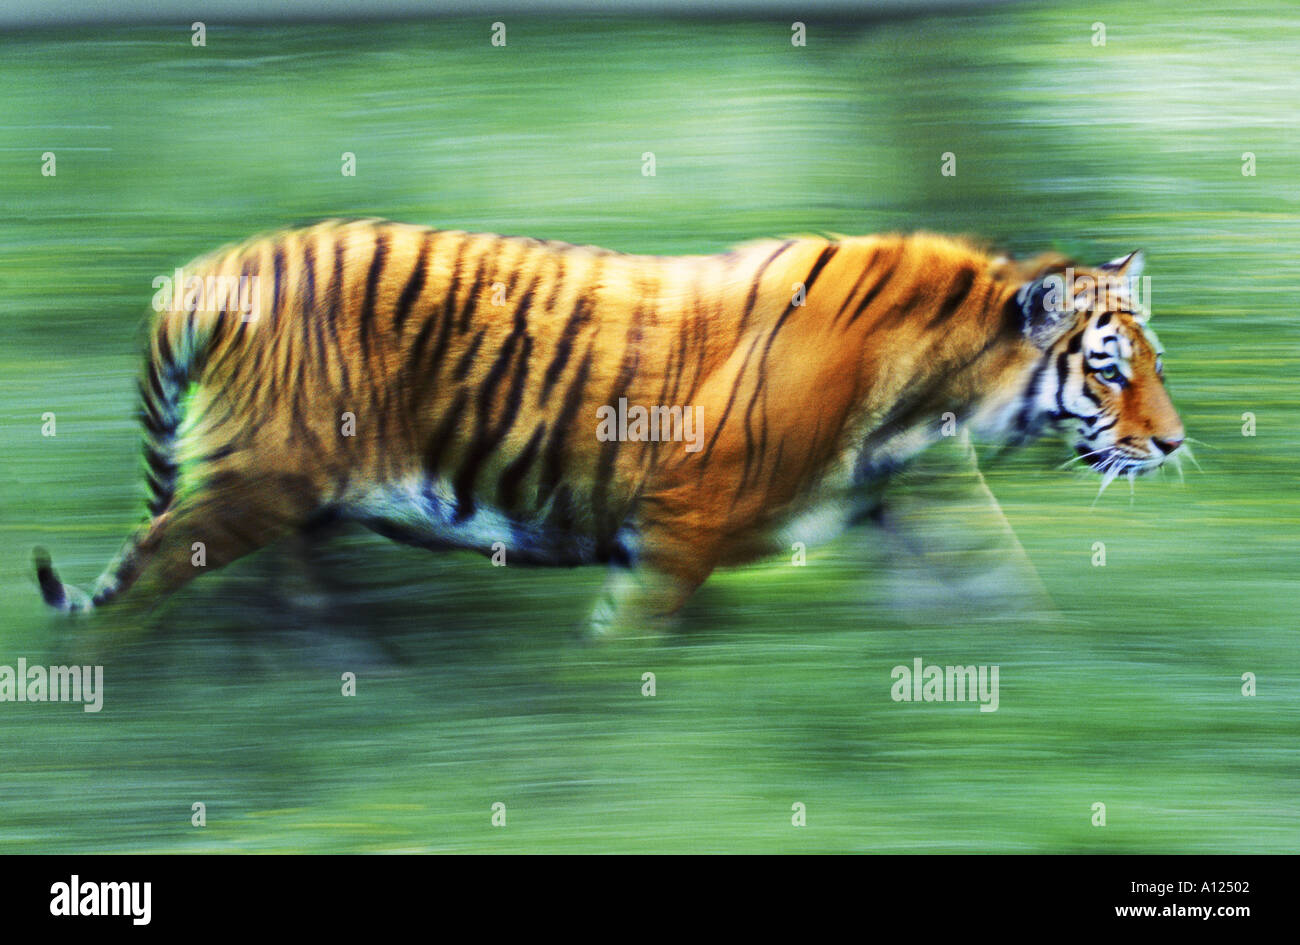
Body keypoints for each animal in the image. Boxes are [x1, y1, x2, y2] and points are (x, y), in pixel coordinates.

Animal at [35, 218, 1185, 639]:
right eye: (1110, 366)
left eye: (1153, 361)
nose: (1174, 443)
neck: (937, 393)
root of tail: (215, 268)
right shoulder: (682, 516)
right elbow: (632, 642)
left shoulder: (913, 493)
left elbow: (1005, 585)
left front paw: (1069, 673)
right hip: (252, 482)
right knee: (146, 571)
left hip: (290, 492)